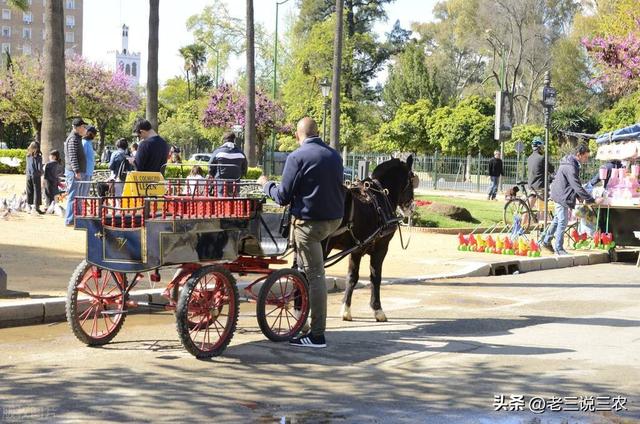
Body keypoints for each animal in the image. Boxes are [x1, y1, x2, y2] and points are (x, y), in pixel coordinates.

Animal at [328, 156, 418, 322]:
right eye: (411, 179)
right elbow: (376, 277)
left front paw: (346, 309)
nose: (411, 207)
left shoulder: (356, 249)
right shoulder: (381, 248)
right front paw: (378, 309)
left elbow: (352, 277)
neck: (381, 197)